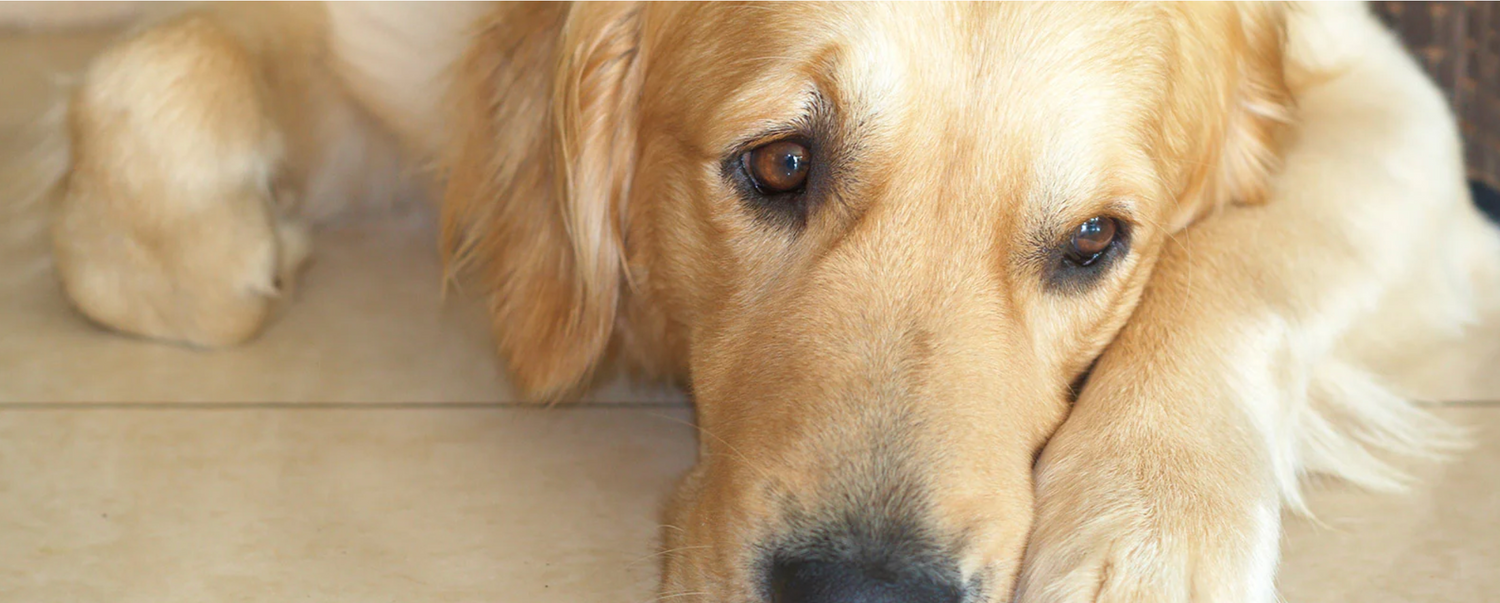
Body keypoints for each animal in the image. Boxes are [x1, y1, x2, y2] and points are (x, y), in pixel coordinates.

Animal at [14, 2, 1500, 600]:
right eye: (780, 162)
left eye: (1094, 241)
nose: (867, 595)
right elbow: (135, 117)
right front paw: (247, 239)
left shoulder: (1402, 116)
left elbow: (1232, 259)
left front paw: (1143, 532)